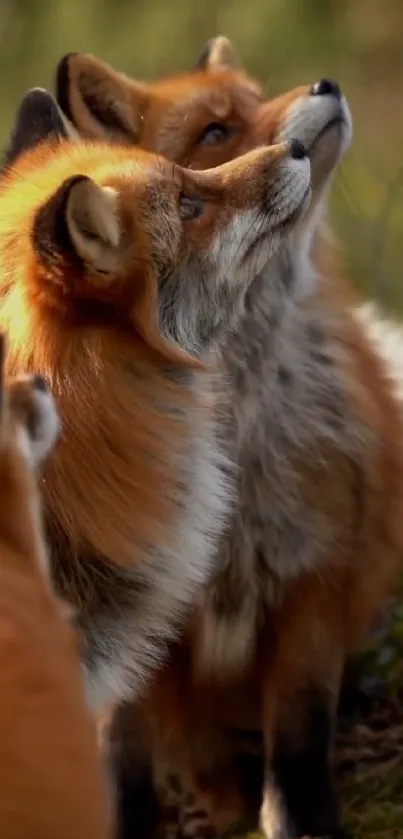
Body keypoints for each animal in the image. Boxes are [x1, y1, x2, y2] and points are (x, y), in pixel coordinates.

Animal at [56, 36, 403, 839]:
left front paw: (303, 822)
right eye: (216, 131)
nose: (326, 83)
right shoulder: (133, 594)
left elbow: (300, 739)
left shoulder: (311, 573)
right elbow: (121, 751)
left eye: (258, 94)